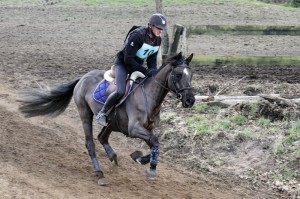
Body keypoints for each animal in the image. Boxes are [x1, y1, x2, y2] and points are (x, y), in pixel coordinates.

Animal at [18, 52, 197, 186]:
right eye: (178, 74)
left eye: (191, 75)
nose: (190, 100)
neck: (149, 96)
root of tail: (83, 77)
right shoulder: (134, 129)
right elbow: (154, 141)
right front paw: (151, 168)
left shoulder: (148, 129)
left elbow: (155, 144)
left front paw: (140, 158)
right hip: (85, 114)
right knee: (90, 143)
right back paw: (100, 173)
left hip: (112, 122)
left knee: (102, 137)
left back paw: (113, 158)